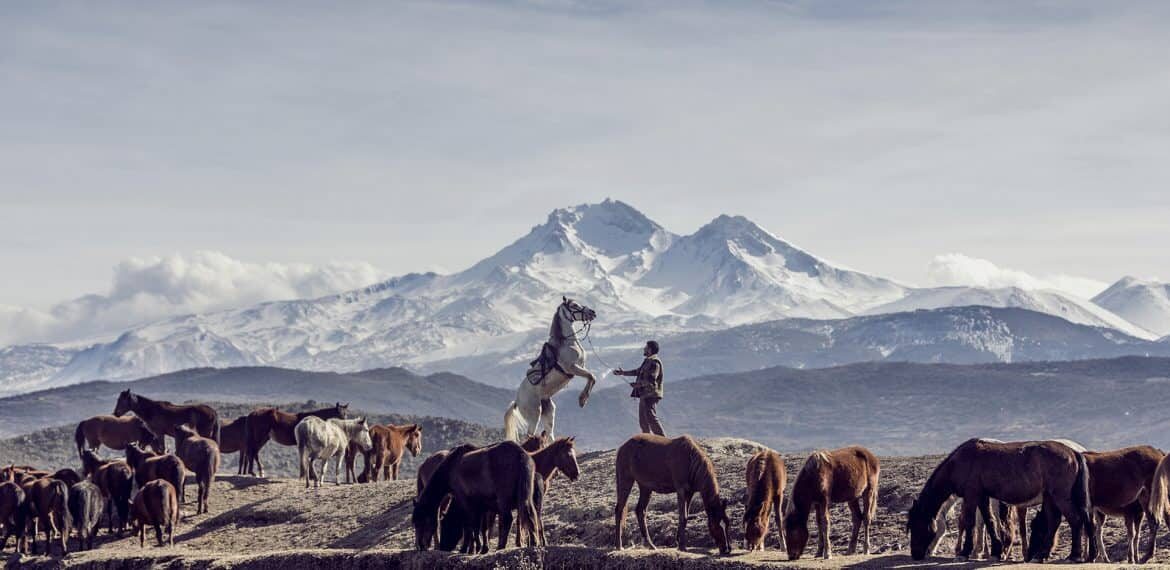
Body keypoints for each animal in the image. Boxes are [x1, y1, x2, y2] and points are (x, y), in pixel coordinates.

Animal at [503, 297, 599, 444]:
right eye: (574, 305)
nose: (592, 312)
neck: (567, 343)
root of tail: (517, 402)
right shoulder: (572, 367)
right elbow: (591, 376)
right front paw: (582, 400)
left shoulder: (580, 367)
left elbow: (592, 377)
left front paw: (583, 399)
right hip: (535, 413)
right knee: (530, 434)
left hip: (548, 410)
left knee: (549, 433)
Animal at [903, 440, 1095, 564]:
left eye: (915, 525)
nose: (915, 554)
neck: (960, 462)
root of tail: (1073, 453)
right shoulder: (982, 496)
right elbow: (989, 521)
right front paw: (996, 551)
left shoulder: (971, 495)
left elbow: (969, 522)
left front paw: (964, 552)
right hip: (1051, 497)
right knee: (1056, 522)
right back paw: (1043, 555)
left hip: (1060, 496)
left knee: (1075, 520)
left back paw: (1074, 555)